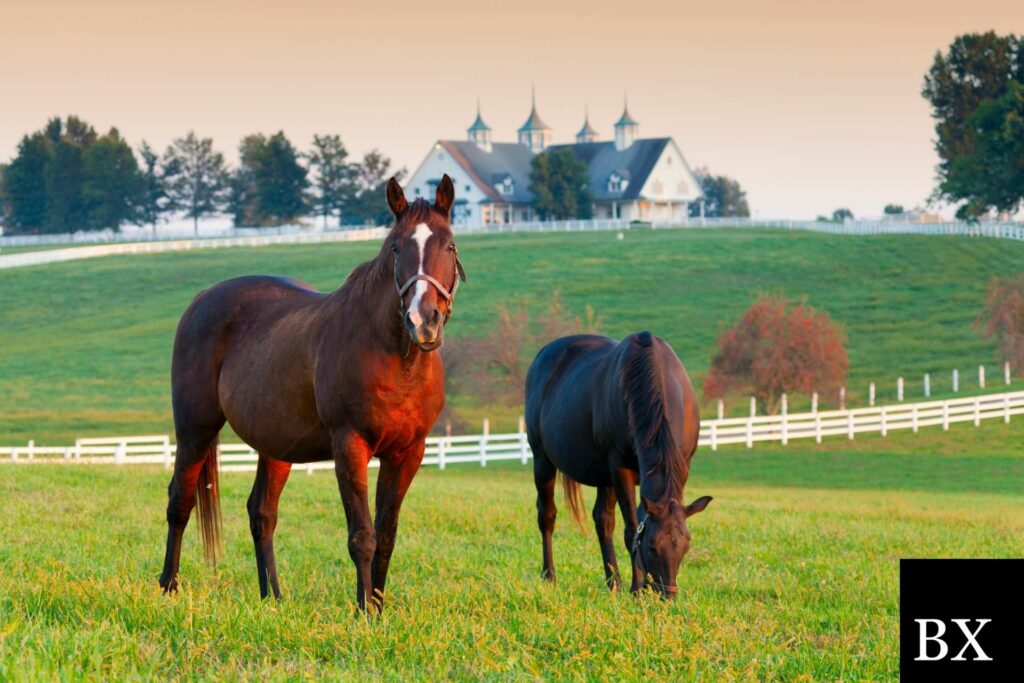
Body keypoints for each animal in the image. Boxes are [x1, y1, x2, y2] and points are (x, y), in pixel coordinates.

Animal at [158, 175, 468, 610]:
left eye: (449, 245)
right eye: (396, 247)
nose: (423, 321)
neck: (396, 359)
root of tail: (202, 300)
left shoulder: (408, 453)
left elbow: (386, 536)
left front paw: (378, 606)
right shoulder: (350, 445)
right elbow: (362, 535)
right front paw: (364, 612)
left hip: (275, 445)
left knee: (262, 513)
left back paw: (272, 597)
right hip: (195, 430)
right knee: (180, 502)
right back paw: (169, 586)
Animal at [524, 331, 708, 598]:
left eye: (685, 545)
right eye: (652, 547)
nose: (667, 596)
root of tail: (542, 355)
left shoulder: (679, 467)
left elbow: (636, 521)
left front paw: (641, 586)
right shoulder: (620, 469)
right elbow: (632, 530)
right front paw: (637, 589)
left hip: (603, 476)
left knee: (603, 521)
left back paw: (613, 582)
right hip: (542, 460)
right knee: (547, 515)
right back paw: (550, 576)